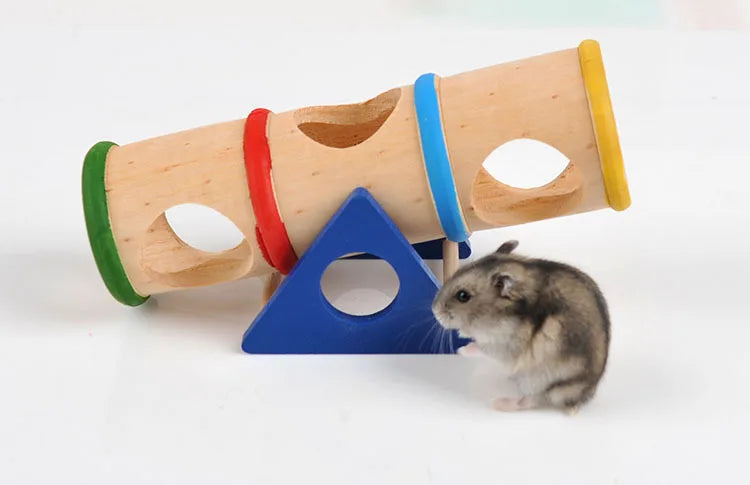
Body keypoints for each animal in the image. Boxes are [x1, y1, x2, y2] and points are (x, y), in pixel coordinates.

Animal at [432, 240, 610, 413]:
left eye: (463, 296)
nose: (434, 310)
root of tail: (578, 398)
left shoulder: (503, 346)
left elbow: (480, 347)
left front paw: (460, 350)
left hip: (540, 381)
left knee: (530, 401)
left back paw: (498, 403)